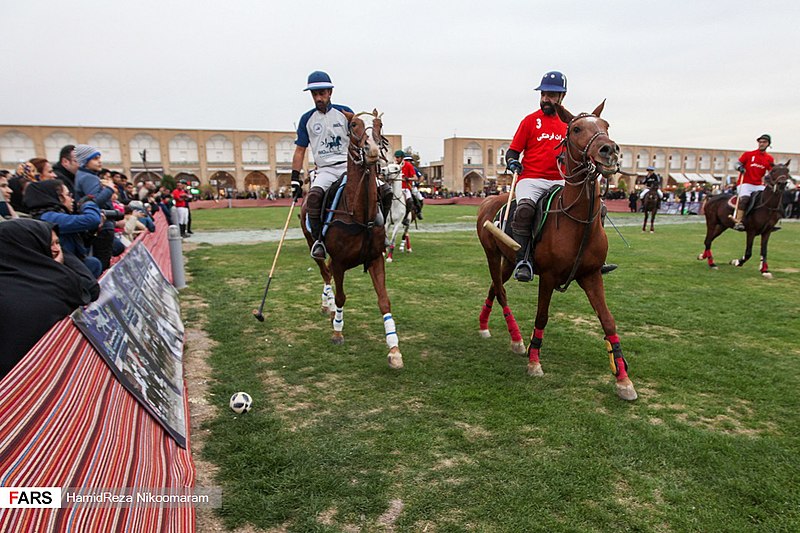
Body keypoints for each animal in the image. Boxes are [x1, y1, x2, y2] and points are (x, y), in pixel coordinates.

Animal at [300, 107, 404, 366]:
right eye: (353, 125)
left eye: (379, 124)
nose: (373, 150)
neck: (359, 214)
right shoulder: (339, 262)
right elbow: (340, 297)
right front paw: (337, 331)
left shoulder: (375, 258)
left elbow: (384, 300)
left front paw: (394, 349)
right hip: (312, 243)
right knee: (324, 270)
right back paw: (327, 306)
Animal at [476, 101, 636, 400]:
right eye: (576, 129)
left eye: (606, 125)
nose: (609, 151)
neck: (578, 221)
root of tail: (488, 200)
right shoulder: (548, 276)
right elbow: (542, 316)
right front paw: (534, 362)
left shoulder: (591, 275)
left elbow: (608, 321)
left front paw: (623, 379)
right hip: (492, 254)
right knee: (501, 291)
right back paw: (517, 340)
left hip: (508, 260)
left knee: (494, 287)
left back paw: (486, 326)